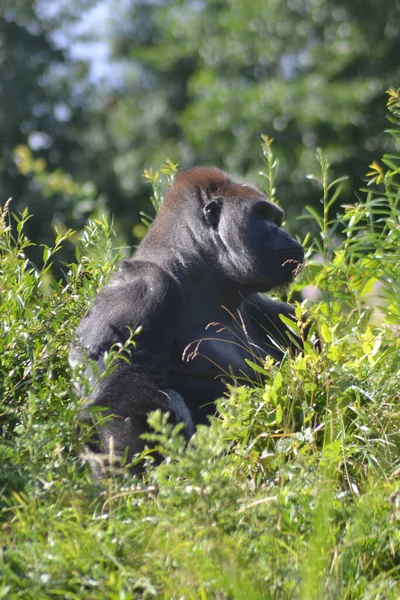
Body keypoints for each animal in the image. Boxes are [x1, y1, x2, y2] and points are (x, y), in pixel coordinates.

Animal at [70, 166, 304, 472]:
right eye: (262, 215)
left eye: (275, 218)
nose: (284, 232)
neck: (191, 271)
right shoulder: (143, 290)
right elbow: (117, 400)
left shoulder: (270, 309)